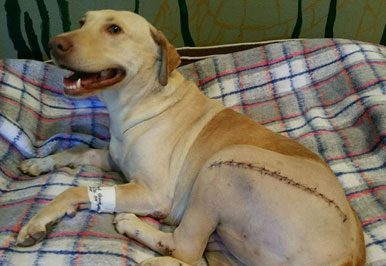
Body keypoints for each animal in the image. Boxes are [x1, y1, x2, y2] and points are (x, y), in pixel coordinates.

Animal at [15, 9, 364, 264]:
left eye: (114, 29)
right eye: (82, 22)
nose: (55, 43)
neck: (140, 102)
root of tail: (351, 256)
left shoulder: (153, 193)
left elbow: (73, 190)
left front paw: (37, 221)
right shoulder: (114, 158)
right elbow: (76, 151)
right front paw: (39, 163)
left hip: (224, 165)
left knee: (186, 248)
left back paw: (134, 228)